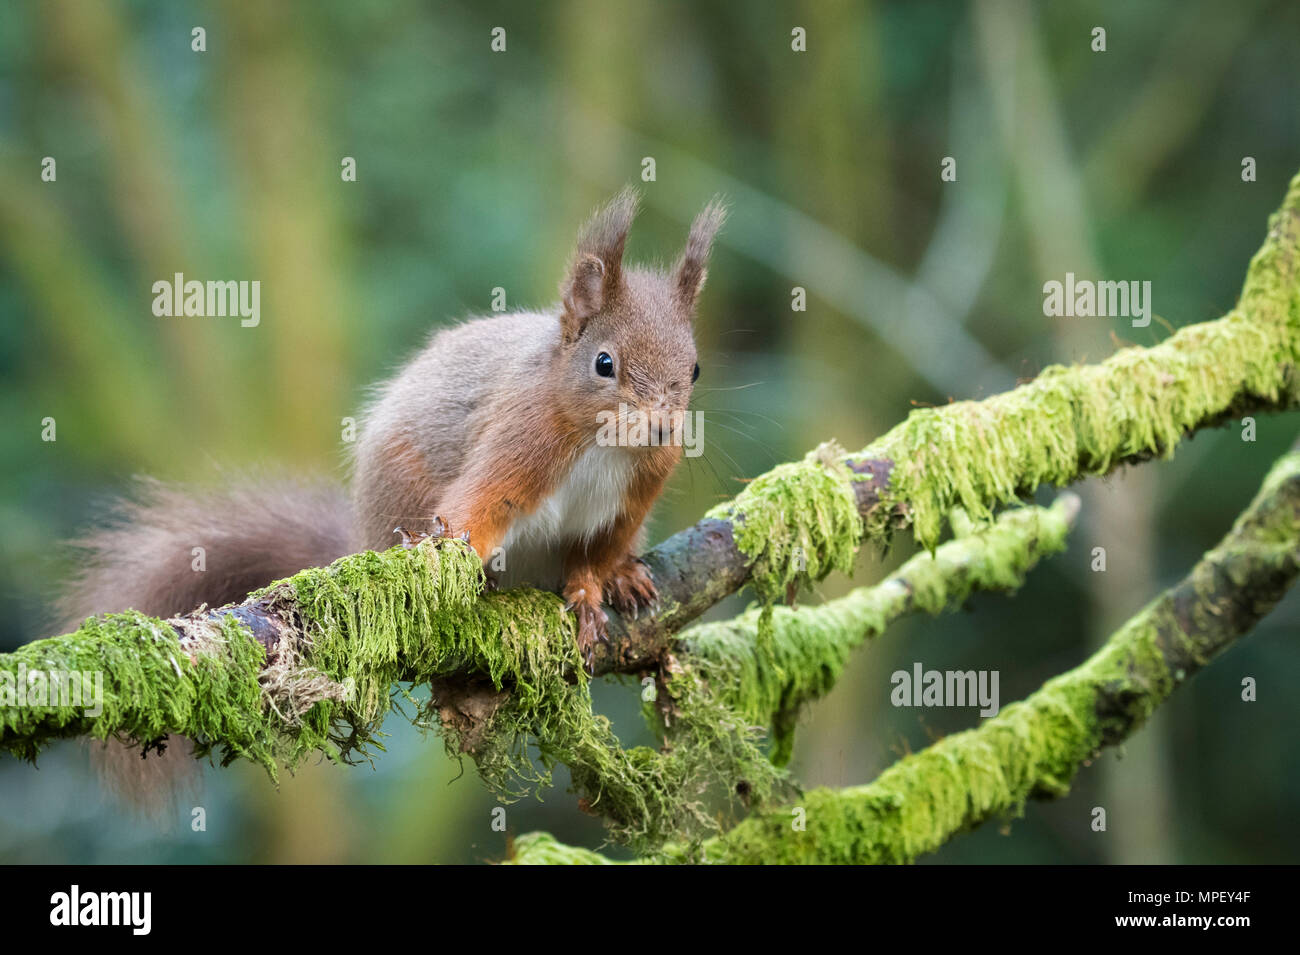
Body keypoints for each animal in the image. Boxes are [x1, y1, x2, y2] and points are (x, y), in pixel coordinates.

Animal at [58, 191, 722, 675]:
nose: (662, 428)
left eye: (694, 369)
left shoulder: (628, 503)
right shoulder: (518, 441)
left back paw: (626, 575)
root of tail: (363, 532)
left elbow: (591, 558)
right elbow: (477, 509)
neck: (601, 443)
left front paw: (590, 596)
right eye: (604, 363)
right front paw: (454, 559)